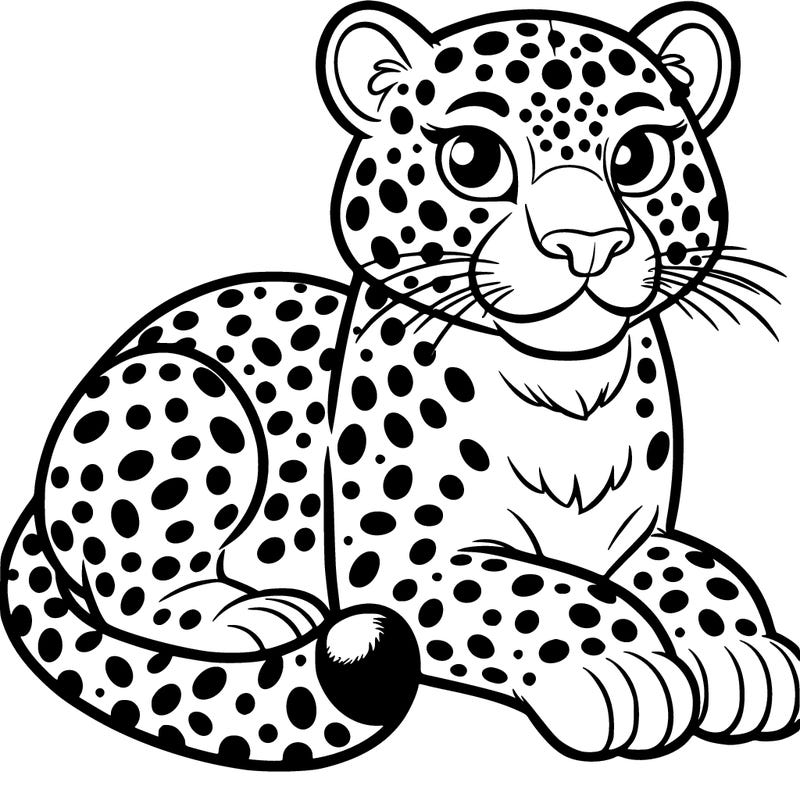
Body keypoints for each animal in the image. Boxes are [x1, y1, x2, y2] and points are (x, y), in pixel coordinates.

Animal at [2, 1, 798, 770]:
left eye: (638, 157)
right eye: (473, 159)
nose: (588, 243)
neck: (566, 392)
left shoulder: (634, 539)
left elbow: (699, 569)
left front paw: (740, 653)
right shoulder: (401, 565)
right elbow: (545, 591)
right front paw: (623, 667)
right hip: (185, 389)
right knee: (138, 588)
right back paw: (250, 614)